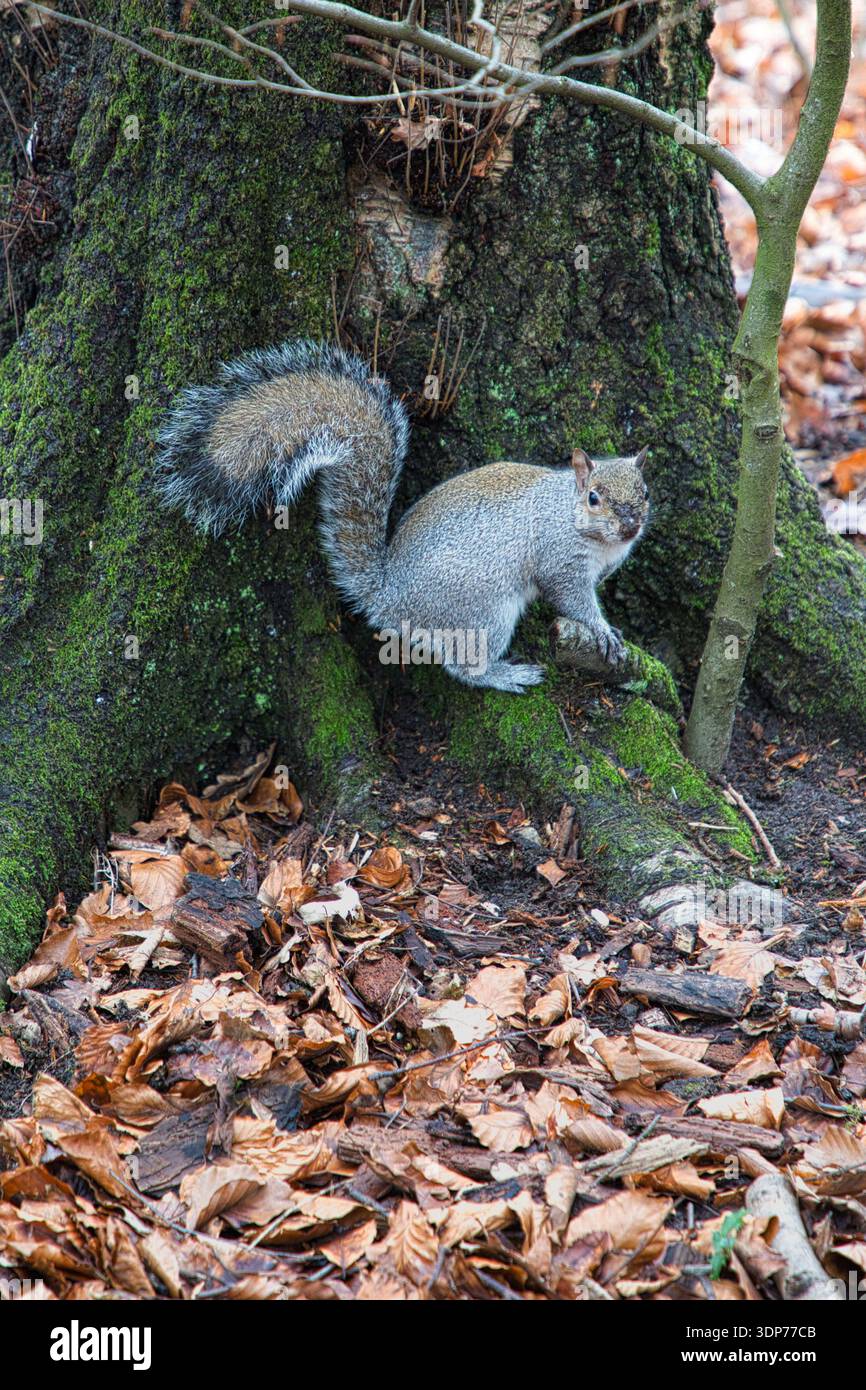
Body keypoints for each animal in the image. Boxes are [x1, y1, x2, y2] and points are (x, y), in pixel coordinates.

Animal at [156, 339, 649, 693]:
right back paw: (505, 675)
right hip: (482, 612)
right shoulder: (558, 559)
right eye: (593, 497)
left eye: (644, 492)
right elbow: (571, 598)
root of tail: (391, 597)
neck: (580, 524)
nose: (631, 525)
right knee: (464, 666)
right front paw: (602, 630)